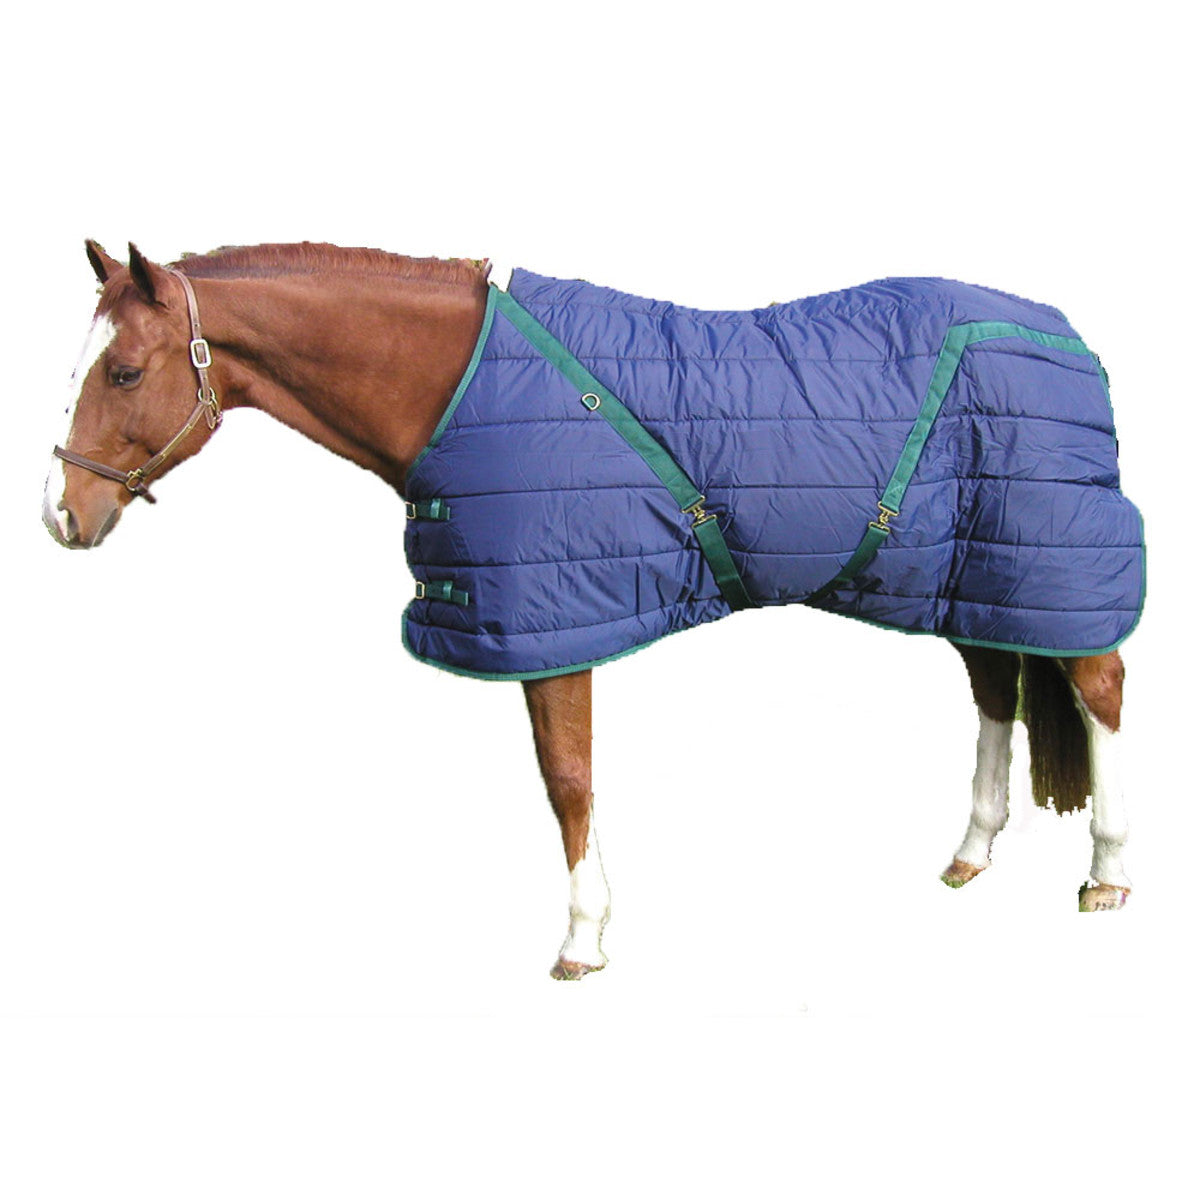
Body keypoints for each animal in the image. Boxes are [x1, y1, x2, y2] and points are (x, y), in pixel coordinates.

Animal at [43, 240, 1139, 980]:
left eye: (124, 370)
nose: (61, 513)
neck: (464, 385)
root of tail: (1068, 335)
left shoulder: (555, 628)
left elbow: (568, 783)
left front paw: (582, 937)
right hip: (975, 572)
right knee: (997, 685)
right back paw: (971, 853)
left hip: (1051, 562)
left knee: (1100, 689)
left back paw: (1108, 874)